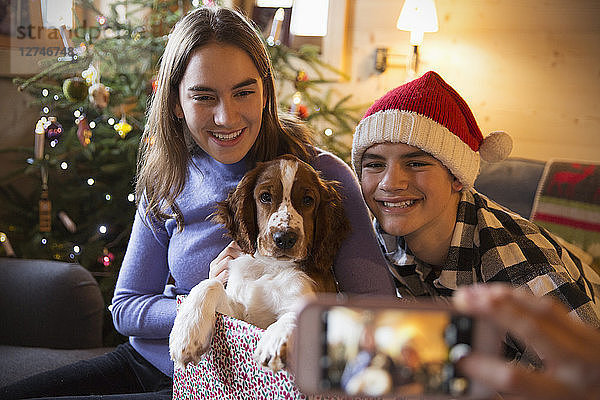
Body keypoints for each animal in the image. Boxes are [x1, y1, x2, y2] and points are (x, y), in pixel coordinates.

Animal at [169, 154, 350, 372]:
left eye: (308, 200)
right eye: (265, 197)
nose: (284, 238)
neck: (270, 266)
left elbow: (299, 311)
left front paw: (274, 341)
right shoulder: (239, 313)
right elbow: (210, 284)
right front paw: (186, 335)